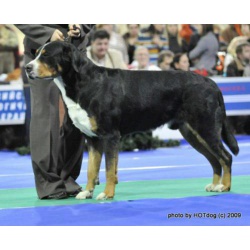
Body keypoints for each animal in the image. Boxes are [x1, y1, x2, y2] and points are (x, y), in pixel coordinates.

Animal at [24, 41, 238, 201]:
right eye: (36, 53)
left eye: (46, 55)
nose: (27, 67)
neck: (84, 84)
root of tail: (211, 83)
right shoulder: (92, 139)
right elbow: (92, 169)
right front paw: (87, 192)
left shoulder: (110, 136)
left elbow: (109, 169)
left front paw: (107, 194)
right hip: (192, 133)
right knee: (215, 159)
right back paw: (215, 184)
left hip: (206, 128)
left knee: (225, 157)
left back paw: (224, 187)